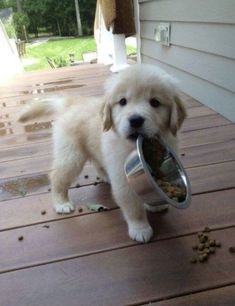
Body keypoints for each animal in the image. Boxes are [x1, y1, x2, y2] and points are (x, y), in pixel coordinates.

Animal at [18, 64, 185, 244]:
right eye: (123, 101)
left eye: (155, 102)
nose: (135, 120)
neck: (129, 146)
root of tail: (71, 103)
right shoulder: (123, 179)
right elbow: (133, 207)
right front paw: (140, 228)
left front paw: (156, 203)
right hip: (71, 155)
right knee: (57, 177)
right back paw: (61, 202)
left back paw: (104, 176)